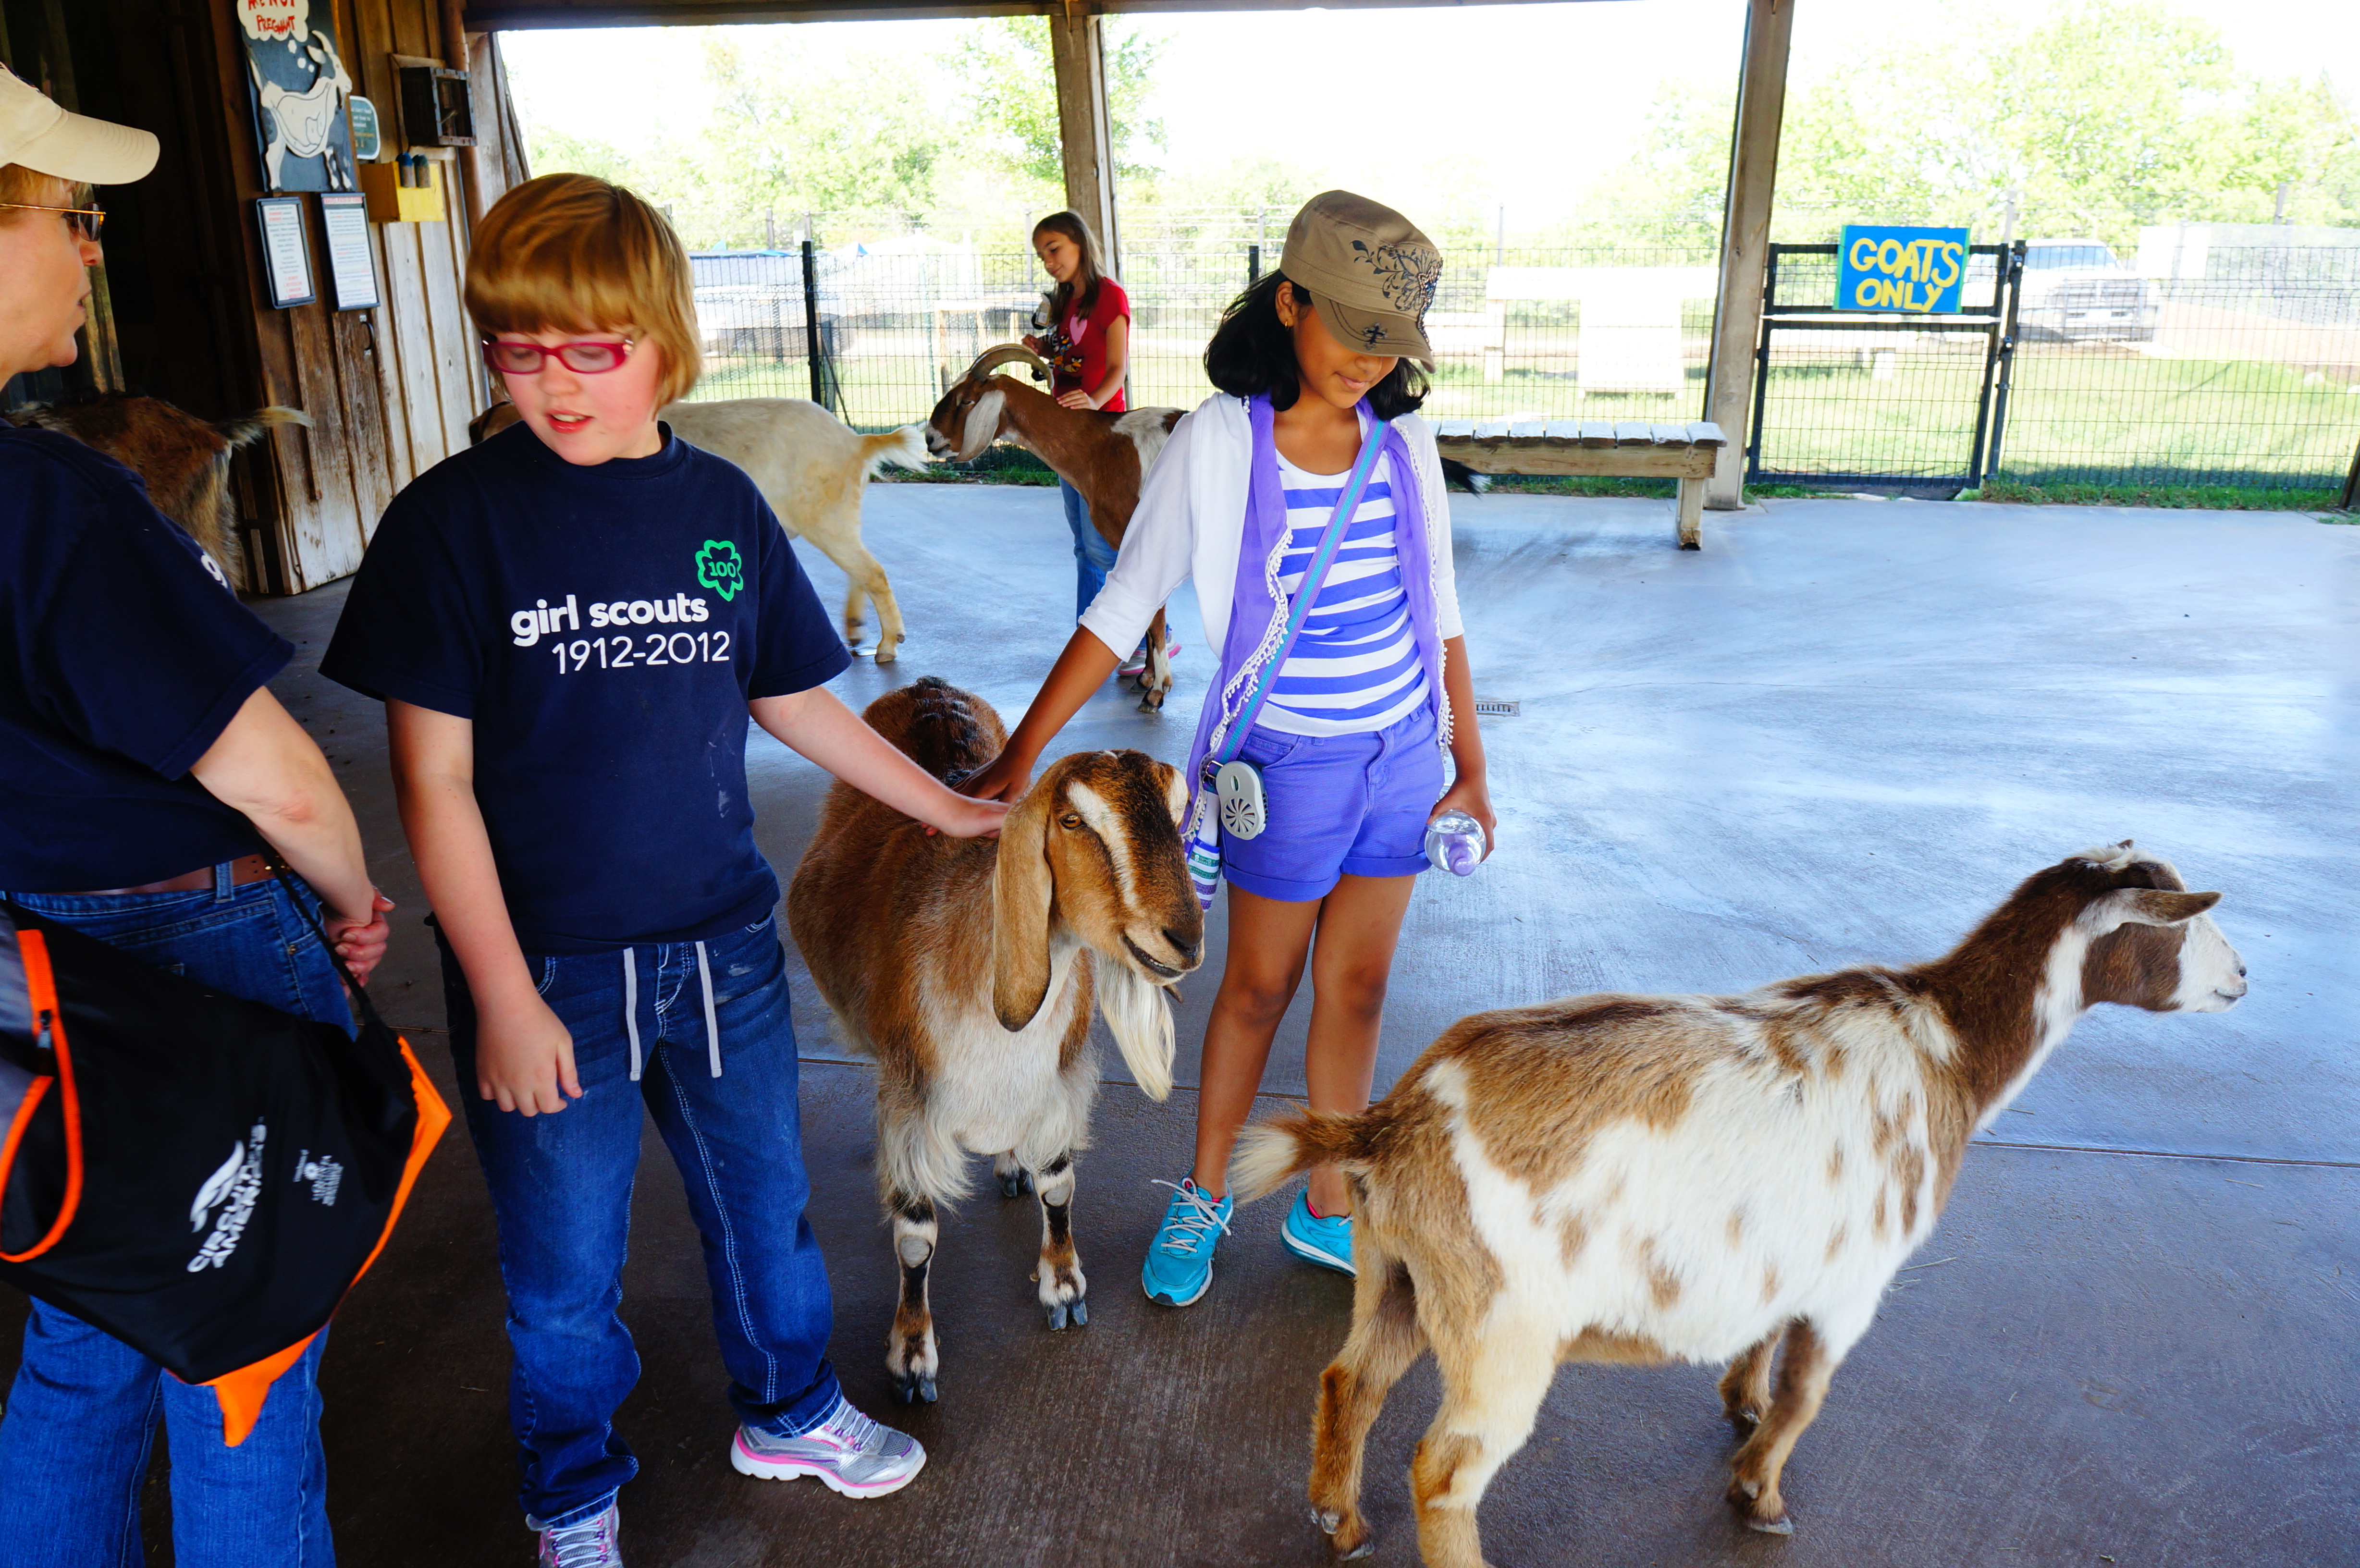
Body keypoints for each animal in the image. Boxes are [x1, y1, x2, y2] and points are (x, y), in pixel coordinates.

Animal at [786, 678, 1205, 1403]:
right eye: (1073, 822)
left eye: (1180, 812)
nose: (1184, 939)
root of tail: (928, 688)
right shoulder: (912, 1102)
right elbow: (916, 1237)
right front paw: (913, 1356)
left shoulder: (1058, 1081)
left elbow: (1059, 1185)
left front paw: (1063, 1288)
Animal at [925, 346, 1184, 713]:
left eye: (966, 401)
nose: (930, 439)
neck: (1100, 446)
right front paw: (1147, 677)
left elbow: (1154, 613)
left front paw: (1158, 690)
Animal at [1233, 841, 2247, 1565]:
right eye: (2187, 920)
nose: (2241, 978)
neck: (1948, 1045)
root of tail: (1392, 1123)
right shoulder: (1854, 1281)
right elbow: (1808, 1396)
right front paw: (1759, 1497)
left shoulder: (1787, 1251)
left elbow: (1765, 1345)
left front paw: (1742, 1404)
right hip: (1501, 1325)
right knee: (1445, 1469)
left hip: (1399, 1271)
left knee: (1350, 1380)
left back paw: (1341, 1522)